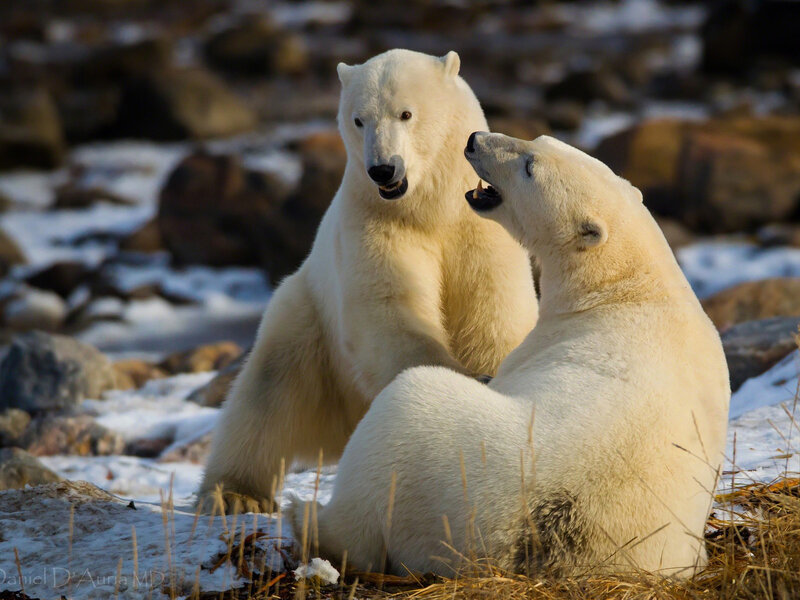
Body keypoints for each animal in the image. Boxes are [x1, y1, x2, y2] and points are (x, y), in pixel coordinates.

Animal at [198, 51, 538, 511]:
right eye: (358, 119)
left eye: (406, 113)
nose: (382, 169)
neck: (429, 210)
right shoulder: (375, 226)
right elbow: (388, 310)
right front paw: (462, 383)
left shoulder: (482, 232)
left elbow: (495, 311)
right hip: (306, 321)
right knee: (267, 396)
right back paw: (235, 495)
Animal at [289, 133, 730, 578]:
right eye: (541, 140)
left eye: (529, 167)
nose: (475, 140)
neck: (630, 286)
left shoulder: (539, 341)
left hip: (429, 457)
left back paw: (303, 514)